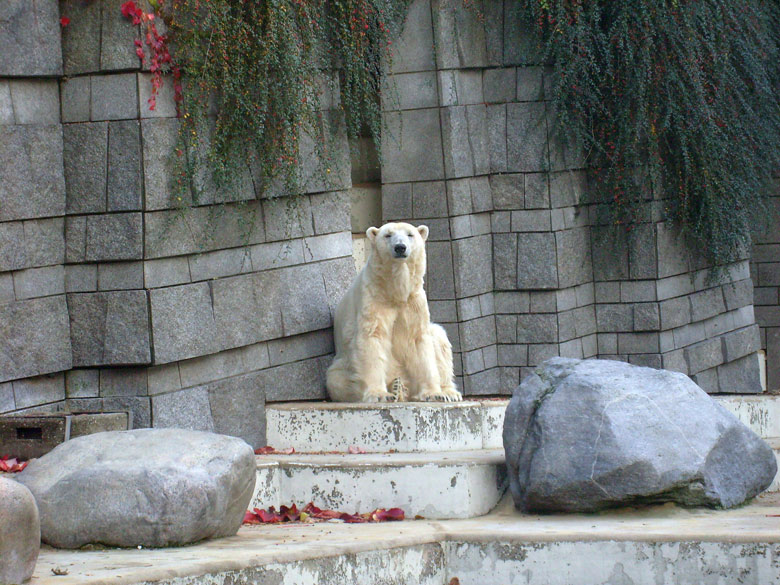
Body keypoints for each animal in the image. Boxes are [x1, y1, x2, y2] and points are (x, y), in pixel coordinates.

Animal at [324, 221, 460, 404]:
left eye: (410, 234)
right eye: (387, 235)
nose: (400, 247)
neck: (394, 291)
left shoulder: (413, 301)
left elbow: (419, 339)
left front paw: (434, 394)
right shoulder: (373, 297)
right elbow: (372, 336)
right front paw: (379, 394)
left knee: (439, 337)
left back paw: (448, 392)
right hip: (343, 364)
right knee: (336, 380)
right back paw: (396, 388)